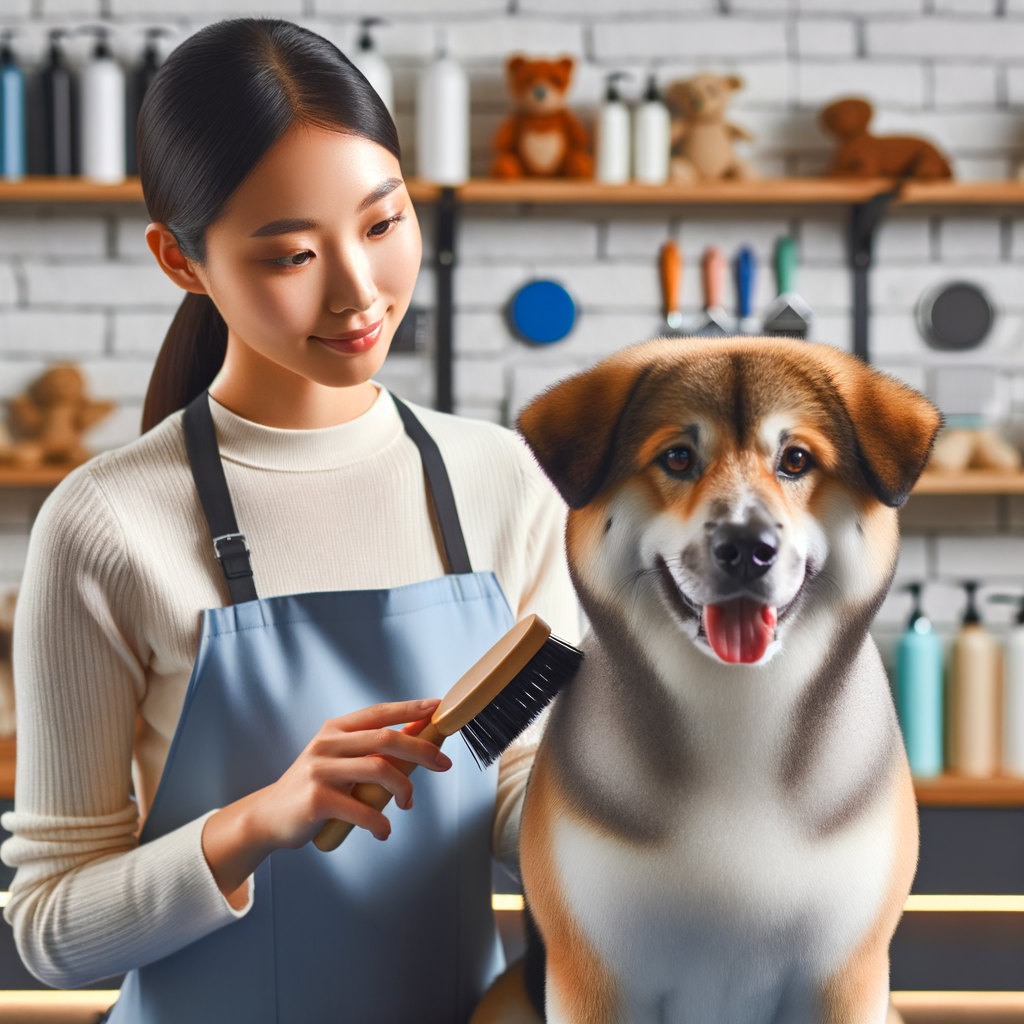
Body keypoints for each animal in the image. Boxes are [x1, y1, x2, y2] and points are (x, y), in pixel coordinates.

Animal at [475, 337, 937, 1024]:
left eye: (796, 459)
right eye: (678, 457)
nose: (747, 546)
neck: (737, 713)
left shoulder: (846, 978)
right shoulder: (595, 979)